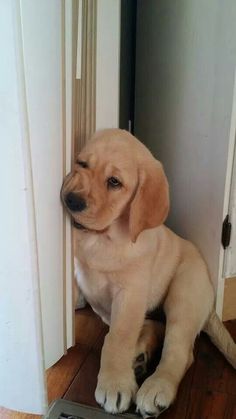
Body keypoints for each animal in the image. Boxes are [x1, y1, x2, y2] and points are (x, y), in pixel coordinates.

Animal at [60, 130, 234, 418]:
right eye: (81, 164)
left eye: (114, 182)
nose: (71, 200)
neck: (101, 238)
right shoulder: (74, 276)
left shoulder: (130, 294)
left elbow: (118, 338)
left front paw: (115, 383)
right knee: (155, 326)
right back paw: (140, 354)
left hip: (184, 293)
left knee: (180, 351)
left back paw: (156, 386)